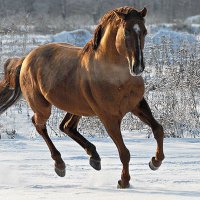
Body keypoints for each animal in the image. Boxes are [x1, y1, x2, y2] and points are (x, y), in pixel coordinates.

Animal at [0, 5, 165, 188]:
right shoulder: (109, 117)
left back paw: (94, 158)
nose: (138, 67)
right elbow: (124, 152)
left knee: (66, 127)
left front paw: (155, 162)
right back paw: (60, 165)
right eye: (127, 31)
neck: (115, 77)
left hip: (77, 107)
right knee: (40, 125)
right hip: (43, 107)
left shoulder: (138, 105)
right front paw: (124, 181)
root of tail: (26, 59)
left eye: (144, 31)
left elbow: (158, 130)